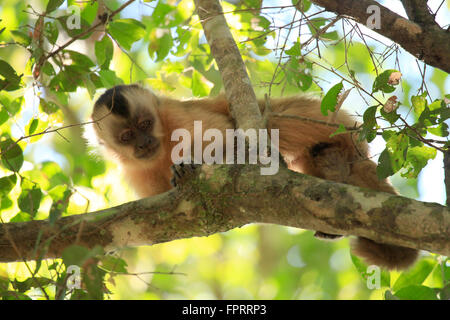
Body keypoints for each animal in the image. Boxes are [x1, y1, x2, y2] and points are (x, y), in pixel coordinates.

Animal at [88, 84, 418, 270]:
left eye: (146, 123)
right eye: (127, 136)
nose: (144, 143)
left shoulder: (179, 118)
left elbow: (230, 138)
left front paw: (187, 167)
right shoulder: (137, 173)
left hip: (335, 124)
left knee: (275, 119)